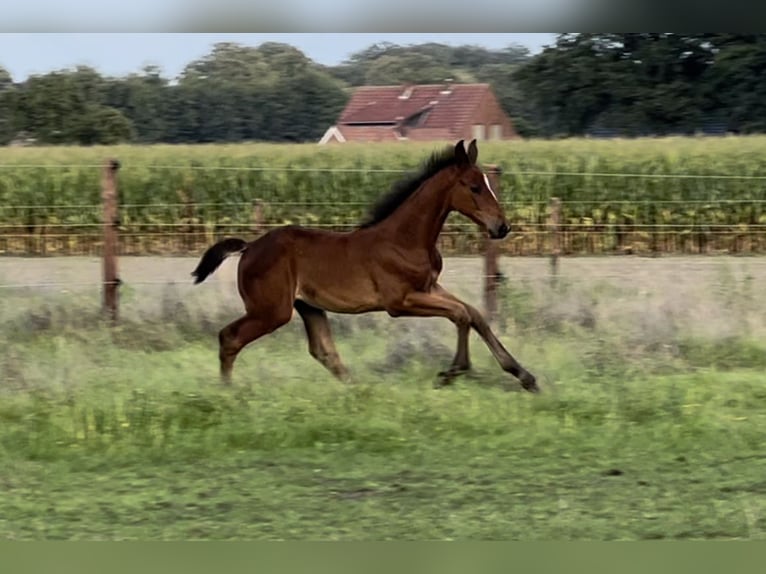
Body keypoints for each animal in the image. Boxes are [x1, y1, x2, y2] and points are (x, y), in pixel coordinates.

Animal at [191, 139, 538, 393]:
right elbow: (461, 314)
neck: (405, 239)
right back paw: (227, 394)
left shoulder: (429, 287)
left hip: (308, 306)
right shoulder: (399, 302)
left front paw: (525, 376)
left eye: (488, 184)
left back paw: (357, 390)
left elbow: (474, 314)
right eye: (474, 187)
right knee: (230, 337)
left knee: (323, 350)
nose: (502, 227)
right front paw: (452, 372)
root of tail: (249, 247)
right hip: (272, 310)